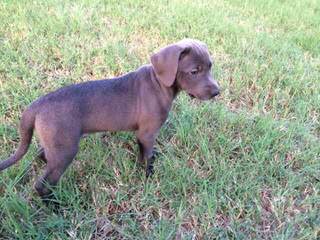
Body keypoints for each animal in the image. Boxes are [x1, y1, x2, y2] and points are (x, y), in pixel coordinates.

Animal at [0, 39, 220, 201]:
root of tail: (36, 105)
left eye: (210, 67)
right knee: (42, 184)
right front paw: (149, 177)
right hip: (65, 149)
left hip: (57, 142)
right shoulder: (147, 133)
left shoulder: (142, 135)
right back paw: (54, 206)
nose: (217, 92)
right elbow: (147, 158)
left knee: (42, 154)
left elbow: (143, 155)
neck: (158, 83)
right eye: (194, 71)